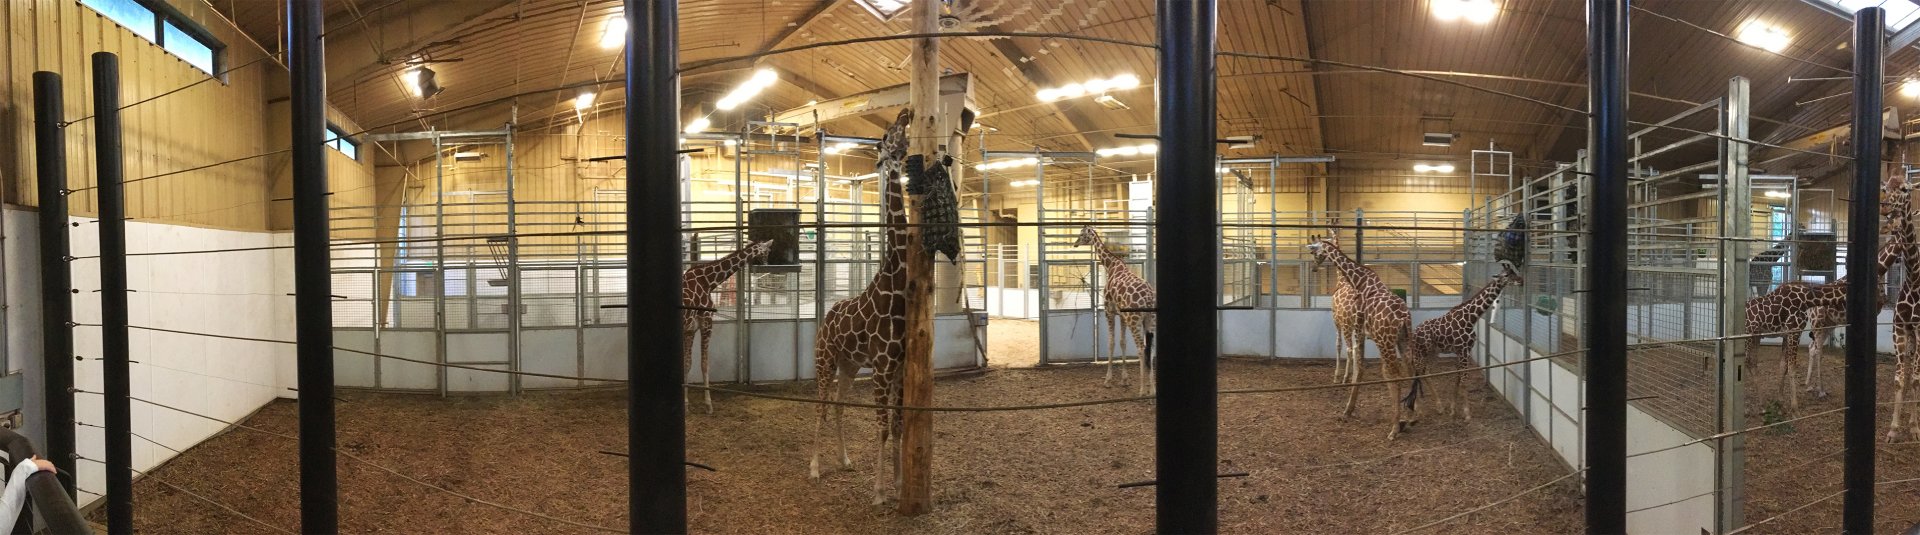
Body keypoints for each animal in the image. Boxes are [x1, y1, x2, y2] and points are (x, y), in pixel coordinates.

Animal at [679, 239, 773, 414]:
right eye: (767, 251)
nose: (767, 264)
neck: (708, 282)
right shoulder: (707, 324)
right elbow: (704, 364)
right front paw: (709, 405)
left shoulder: (690, 329)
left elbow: (687, 364)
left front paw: (686, 403)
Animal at [809, 109, 913, 505]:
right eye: (886, 135)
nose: (906, 112)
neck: (895, 285)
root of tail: (825, 318)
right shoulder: (882, 368)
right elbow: (882, 427)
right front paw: (880, 491)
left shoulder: (899, 369)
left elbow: (898, 425)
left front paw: (898, 484)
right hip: (824, 360)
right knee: (821, 407)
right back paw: (814, 468)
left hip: (849, 365)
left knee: (838, 407)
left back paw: (845, 460)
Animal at [1076, 226, 1158, 394]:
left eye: (1081, 234)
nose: (1075, 243)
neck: (1111, 265)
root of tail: (1148, 298)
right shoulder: (1122, 316)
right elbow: (1122, 342)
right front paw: (1124, 379)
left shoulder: (1109, 312)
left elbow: (1111, 342)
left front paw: (1108, 380)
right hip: (1149, 320)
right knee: (1151, 348)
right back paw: (1152, 390)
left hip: (1135, 320)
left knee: (1141, 348)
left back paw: (1142, 390)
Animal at [1307, 232, 1417, 439]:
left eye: (1314, 251)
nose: (1314, 268)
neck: (1357, 280)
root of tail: (1404, 317)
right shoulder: (1364, 334)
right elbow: (1362, 368)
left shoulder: (1356, 329)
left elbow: (1359, 368)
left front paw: (1347, 409)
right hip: (1403, 340)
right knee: (1410, 370)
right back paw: (1411, 416)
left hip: (1385, 341)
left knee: (1394, 374)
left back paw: (1394, 428)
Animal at [1406, 265, 1525, 421]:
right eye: (1506, 275)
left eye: (1514, 271)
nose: (1521, 280)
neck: (1470, 319)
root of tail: (1414, 333)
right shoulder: (1463, 350)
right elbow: (1463, 381)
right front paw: (1467, 414)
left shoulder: (1463, 351)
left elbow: (1458, 379)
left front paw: (1452, 409)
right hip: (1420, 352)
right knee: (1416, 374)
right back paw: (1418, 410)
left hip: (1432, 353)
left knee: (1425, 373)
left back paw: (1439, 407)